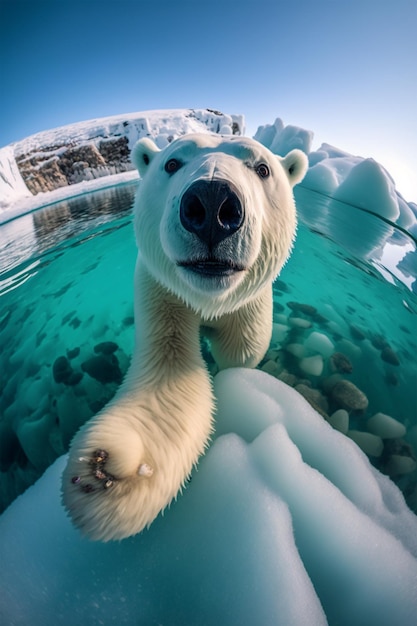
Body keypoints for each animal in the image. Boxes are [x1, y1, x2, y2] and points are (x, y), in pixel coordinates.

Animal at [62, 130, 308, 536]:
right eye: (172, 162)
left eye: (262, 168)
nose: (212, 203)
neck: (209, 299)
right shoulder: (162, 292)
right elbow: (169, 376)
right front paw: (106, 469)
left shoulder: (249, 308)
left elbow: (240, 354)